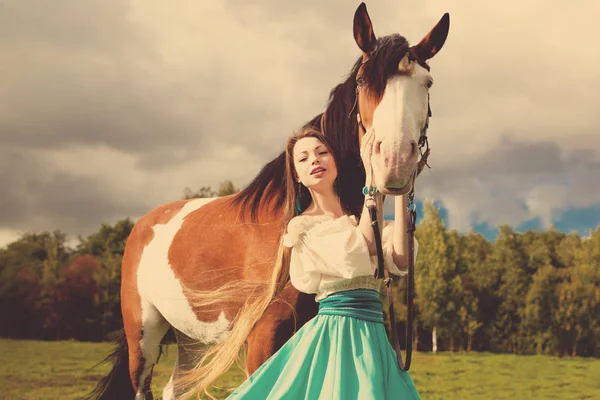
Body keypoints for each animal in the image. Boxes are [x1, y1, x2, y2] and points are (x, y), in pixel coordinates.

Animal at [86, 3, 448, 400]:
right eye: (363, 81)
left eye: (427, 84)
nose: (395, 160)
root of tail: (142, 224)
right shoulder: (263, 338)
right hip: (144, 334)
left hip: (191, 337)